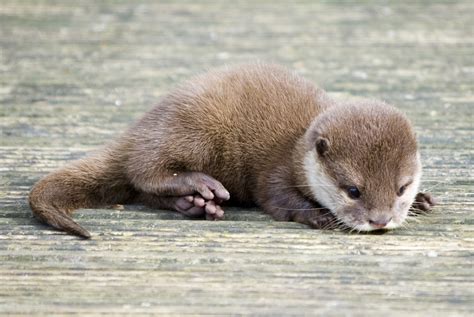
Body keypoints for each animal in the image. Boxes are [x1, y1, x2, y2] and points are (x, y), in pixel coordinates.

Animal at [27, 63, 436, 237]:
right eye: (353, 190)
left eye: (401, 187)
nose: (380, 220)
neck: (297, 149)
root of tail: (138, 127)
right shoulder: (275, 172)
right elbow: (278, 200)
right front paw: (321, 216)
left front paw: (421, 201)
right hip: (192, 130)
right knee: (144, 169)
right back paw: (200, 186)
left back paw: (195, 205)